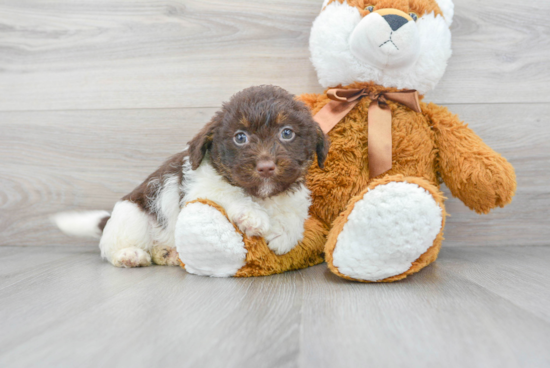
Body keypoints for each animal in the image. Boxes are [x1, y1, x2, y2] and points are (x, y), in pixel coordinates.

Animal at [54, 86, 330, 268]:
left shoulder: (294, 195)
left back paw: (168, 253)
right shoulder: (199, 188)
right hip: (131, 217)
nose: (266, 167)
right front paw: (252, 215)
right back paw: (129, 255)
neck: (262, 196)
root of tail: (110, 218)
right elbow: (227, 192)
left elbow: (296, 213)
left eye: (287, 133)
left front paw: (286, 235)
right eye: (240, 137)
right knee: (112, 247)